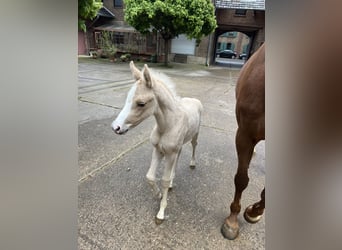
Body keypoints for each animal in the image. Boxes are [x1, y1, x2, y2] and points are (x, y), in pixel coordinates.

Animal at [112, 61, 203, 224]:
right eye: (127, 97)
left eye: (141, 103)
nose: (116, 127)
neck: (167, 125)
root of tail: (195, 100)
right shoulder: (158, 150)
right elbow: (150, 177)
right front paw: (159, 194)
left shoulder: (170, 153)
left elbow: (164, 180)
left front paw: (161, 212)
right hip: (177, 147)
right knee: (179, 155)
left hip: (195, 134)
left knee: (194, 146)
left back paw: (192, 163)